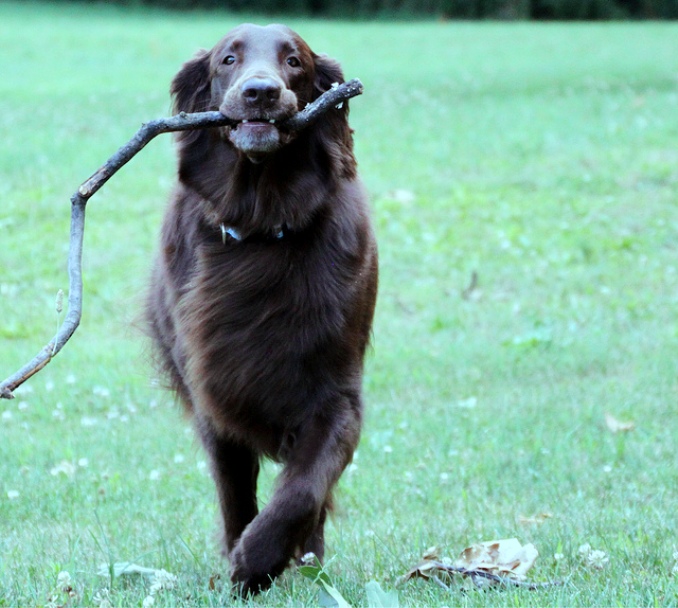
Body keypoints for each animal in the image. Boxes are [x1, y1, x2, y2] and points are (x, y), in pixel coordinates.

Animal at [146, 25, 378, 592]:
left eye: (294, 62)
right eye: (229, 59)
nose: (260, 93)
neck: (261, 223)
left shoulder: (337, 396)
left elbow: (304, 487)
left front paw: (258, 559)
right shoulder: (215, 395)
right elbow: (235, 492)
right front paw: (241, 563)